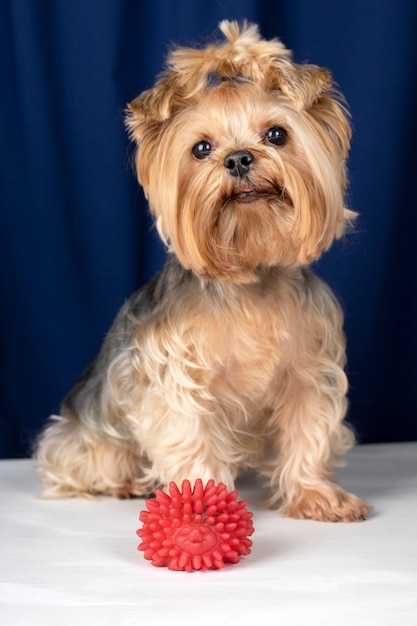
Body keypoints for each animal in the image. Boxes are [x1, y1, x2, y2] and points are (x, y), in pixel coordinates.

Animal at [35, 22, 368, 520]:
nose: (238, 158)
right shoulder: (177, 377)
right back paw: (128, 483)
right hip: (88, 437)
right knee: (84, 465)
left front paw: (315, 495)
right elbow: (189, 438)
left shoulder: (308, 372)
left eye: (276, 134)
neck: (247, 274)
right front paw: (200, 506)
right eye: (202, 148)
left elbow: (308, 432)